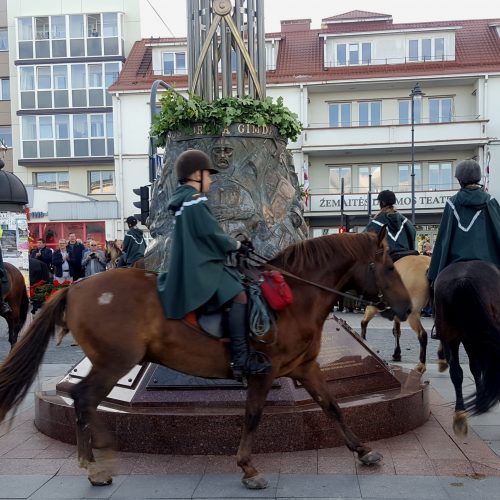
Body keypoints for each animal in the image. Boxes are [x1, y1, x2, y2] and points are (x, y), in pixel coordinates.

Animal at [0, 230, 410, 488]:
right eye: (390, 268)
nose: (407, 308)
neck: (294, 298)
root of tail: (77, 287)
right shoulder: (265, 372)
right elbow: (253, 416)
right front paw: (247, 467)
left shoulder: (305, 368)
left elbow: (333, 407)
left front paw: (363, 450)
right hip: (115, 362)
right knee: (84, 399)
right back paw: (94, 463)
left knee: (82, 400)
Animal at [434, 260, 500, 436]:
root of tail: (463, 279)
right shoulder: (473, 340)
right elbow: (477, 368)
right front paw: (482, 398)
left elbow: (475, 368)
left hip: (452, 335)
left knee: (456, 372)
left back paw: (460, 411)